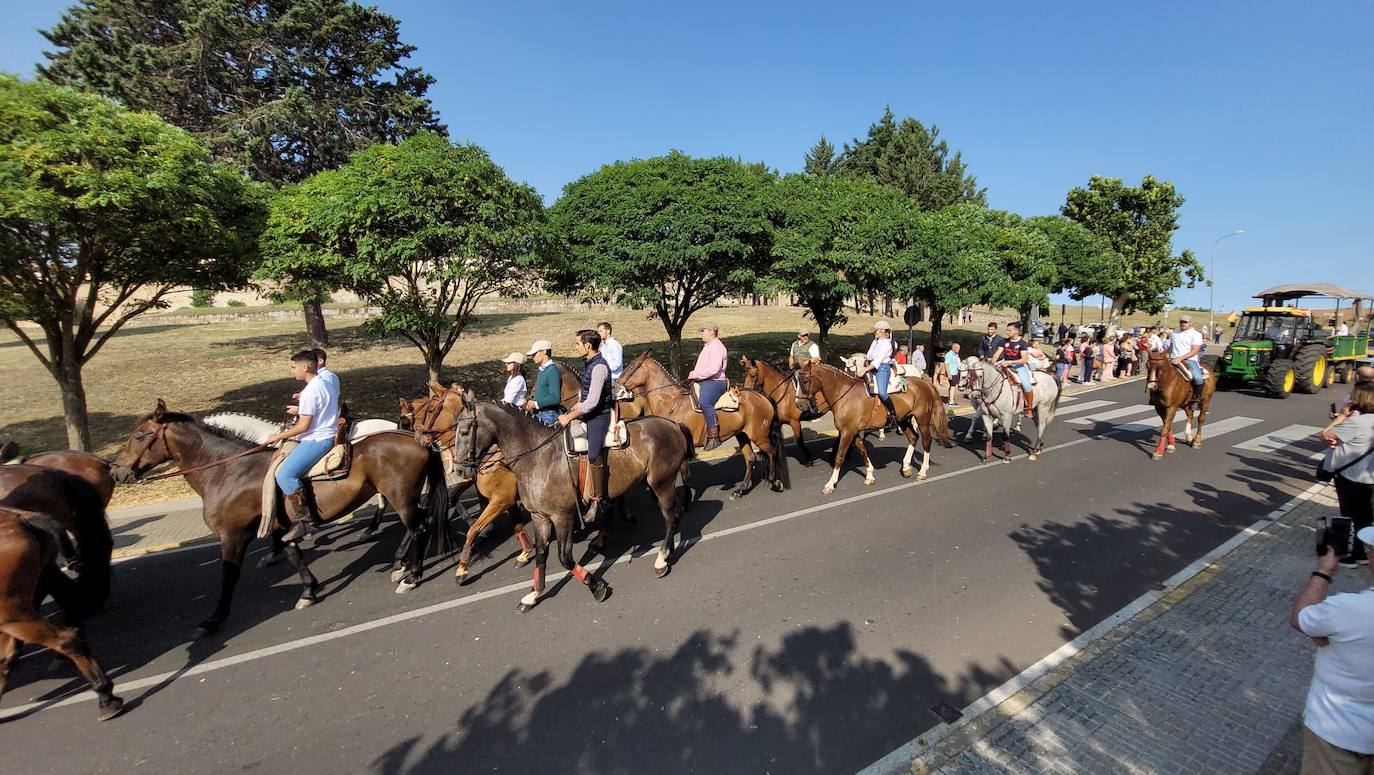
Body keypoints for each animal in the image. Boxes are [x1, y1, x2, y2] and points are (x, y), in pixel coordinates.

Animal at [109, 398, 450, 634]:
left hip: (401, 496)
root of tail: (416, 439)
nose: (116, 471)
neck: (230, 471)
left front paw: (214, 618)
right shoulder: (279, 525)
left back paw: (410, 575)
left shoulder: (232, 535)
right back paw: (400, 563)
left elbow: (228, 576)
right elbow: (292, 553)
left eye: (140, 435)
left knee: (417, 527)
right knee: (416, 524)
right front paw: (309, 590)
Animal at [450, 398, 692, 612]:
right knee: (675, 514)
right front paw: (533, 594)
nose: (459, 469)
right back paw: (667, 549)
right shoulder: (540, 517)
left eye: (465, 431)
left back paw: (661, 560)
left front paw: (596, 586)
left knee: (670, 517)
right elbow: (541, 554)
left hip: (661, 484)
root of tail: (672, 425)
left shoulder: (562, 517)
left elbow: (564, 558)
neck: (540, 457)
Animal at [618, 351, 791, 497]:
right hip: (742, 434)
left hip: (759, 436)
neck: (670, 401)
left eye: (631, 366)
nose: (616, 386)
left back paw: (775, 482)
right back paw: (740, 490)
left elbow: (684, 476)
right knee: (750, 459)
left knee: (772, 452)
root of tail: (763, 397)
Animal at [802, 362, 950, 494]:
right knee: (913, 437)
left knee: (926, 442)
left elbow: (840, 456)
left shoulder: (847, 432)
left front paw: (830, 484)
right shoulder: (853, 431)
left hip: (922, 420)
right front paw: (869, 476)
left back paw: (922, 471)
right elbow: (863, 451)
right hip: (903, 420)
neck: (845, 395)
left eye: (804, 381)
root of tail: (925, 382)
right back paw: (906, 467)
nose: (801, 405)